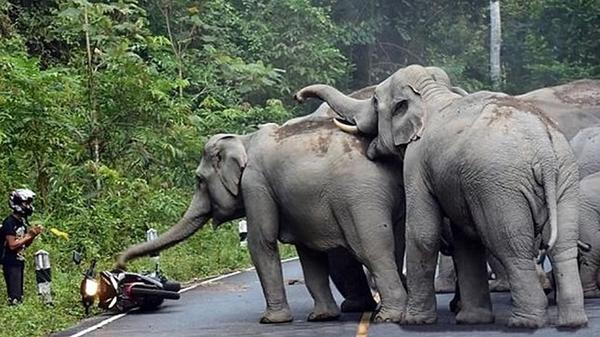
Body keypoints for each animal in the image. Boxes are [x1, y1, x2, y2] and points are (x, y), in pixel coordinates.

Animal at [116, 117, 408, 322]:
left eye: (199, 180)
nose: (119, 264)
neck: (243, 140)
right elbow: (308, 254)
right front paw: (321, 317)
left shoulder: (255, 185)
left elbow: (261, 242)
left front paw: (270, 320)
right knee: (396, 246)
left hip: (360, 198)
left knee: (372, 250)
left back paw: (388, 316)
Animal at [298, 64, 588, 326]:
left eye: (375, 101)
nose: (298, 96)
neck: (431, 93)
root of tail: (544, 150)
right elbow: (465, 241)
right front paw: (471, 320)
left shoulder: (416, 162)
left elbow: (422, 233)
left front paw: (414, 321)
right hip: (565, 177)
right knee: (563, 245)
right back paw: (572, 321)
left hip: (501, 187)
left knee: (510, 246)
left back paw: (525, 322)